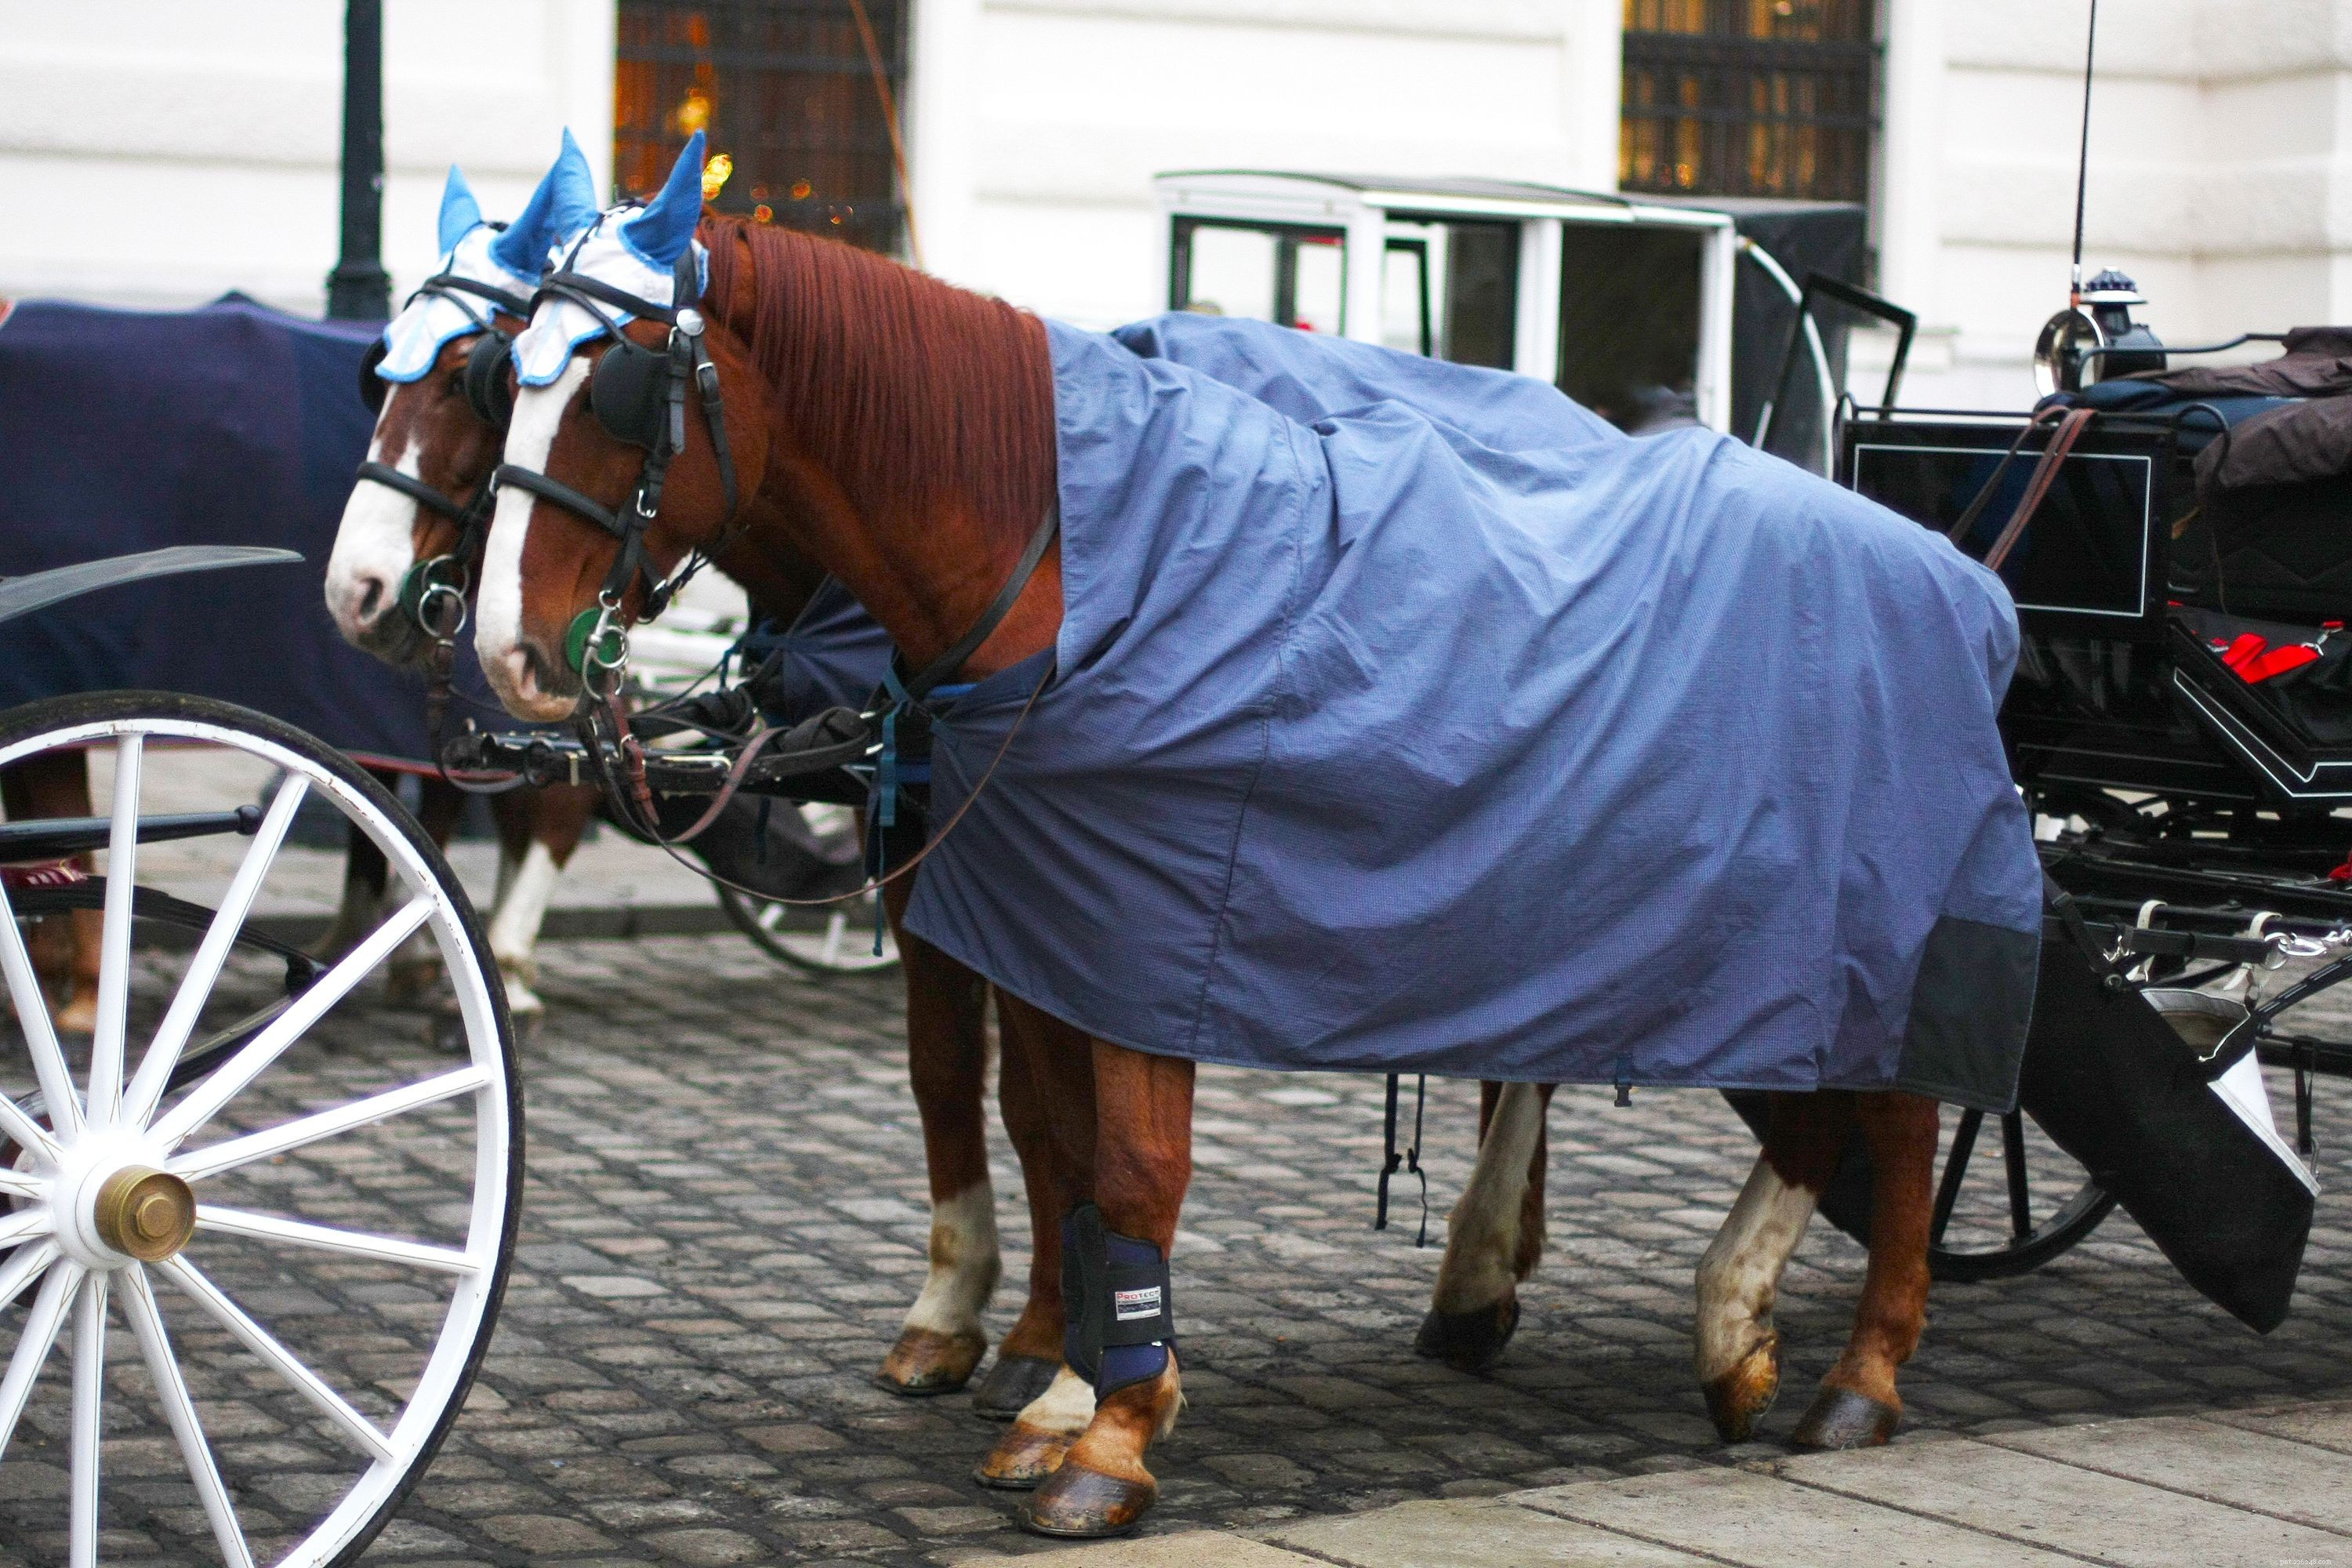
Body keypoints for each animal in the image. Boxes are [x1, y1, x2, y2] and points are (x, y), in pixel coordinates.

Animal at [322, 151, 1073, 1424]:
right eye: (387, 367)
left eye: (480, 380)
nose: (356, 591)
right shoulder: (917, 854)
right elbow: (946, 1071)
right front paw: (955, 1311)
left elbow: (1042, 1094)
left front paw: (1044, 1340)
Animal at [471, 133, 1960, 1538]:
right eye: (502, 379)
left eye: (608, 388)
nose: (495, 649)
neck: (1073, 586)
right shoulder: (1038, 929)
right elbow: (1057, 1146)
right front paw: (1070, 1385)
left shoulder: (1144, 938)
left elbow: (1127, 1168)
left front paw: (1110, 1437)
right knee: (1783, 1108)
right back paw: (1700, 1317)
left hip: (1859, 927)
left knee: (1894, 1111)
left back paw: (1858, 1371)